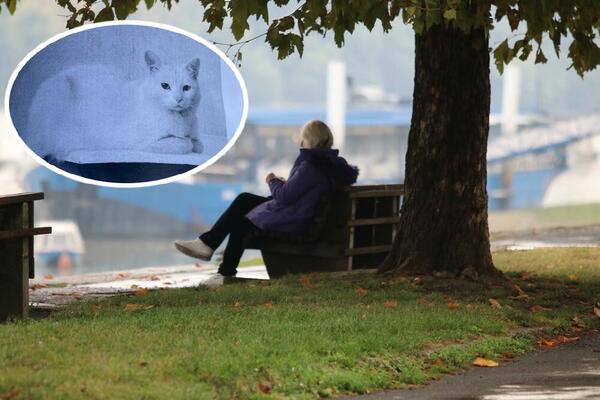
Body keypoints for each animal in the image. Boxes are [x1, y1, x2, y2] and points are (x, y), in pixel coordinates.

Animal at [25, 50, 203, 161]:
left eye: (186, 88)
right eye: (165, 86)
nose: (178, 99)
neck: (181, 119)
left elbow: (198, 144)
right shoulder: (140, 143)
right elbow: (184, 143)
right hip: (59, 88)